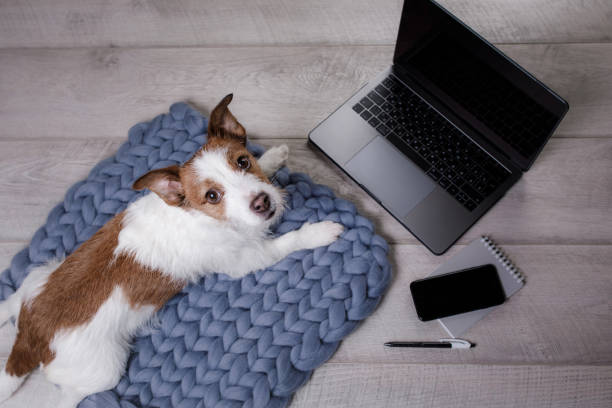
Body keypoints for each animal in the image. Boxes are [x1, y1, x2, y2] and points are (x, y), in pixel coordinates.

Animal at [0, 94, 344, 406]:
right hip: (102, 371)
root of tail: (31, 338)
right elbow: (287, 242)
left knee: (13, 299)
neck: (196, 214)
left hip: (40, 274)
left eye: (244, 161)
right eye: (212, 196)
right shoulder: (247, 259)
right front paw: (318, 232)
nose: (262, 202)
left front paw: (274, 156)